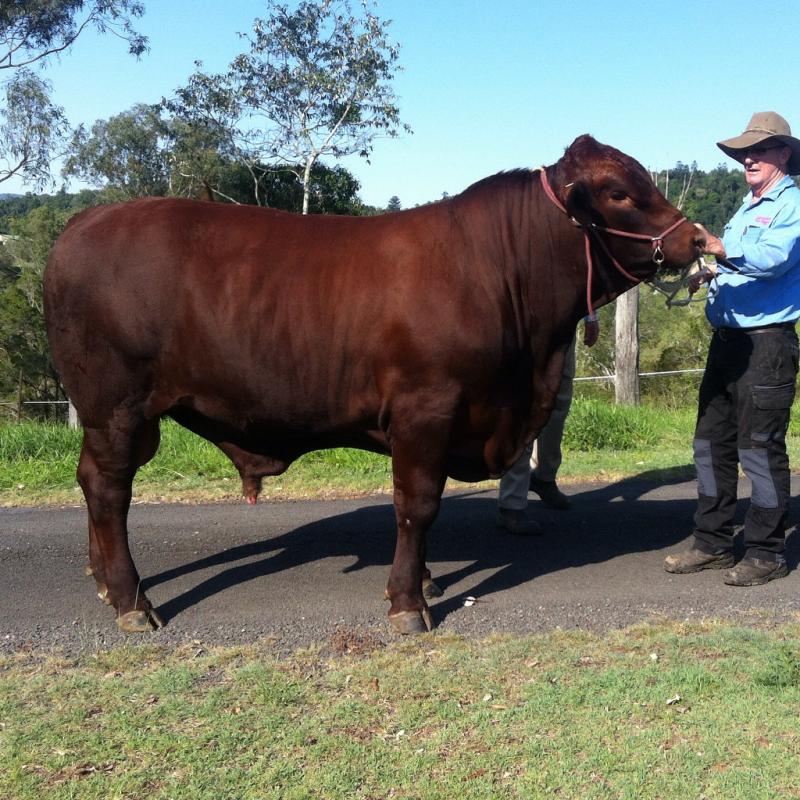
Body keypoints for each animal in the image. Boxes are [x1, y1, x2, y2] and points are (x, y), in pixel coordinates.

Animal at [43, 135, 705, 635]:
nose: (697, 239)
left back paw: (103, 583)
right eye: (619, 193)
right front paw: (409, 602)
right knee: (108, 489)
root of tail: (86, 221)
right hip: (117, 406)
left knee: (92, 481)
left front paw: (427, 578)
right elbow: (418, 505)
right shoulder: (425, 410)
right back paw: (132, 601)